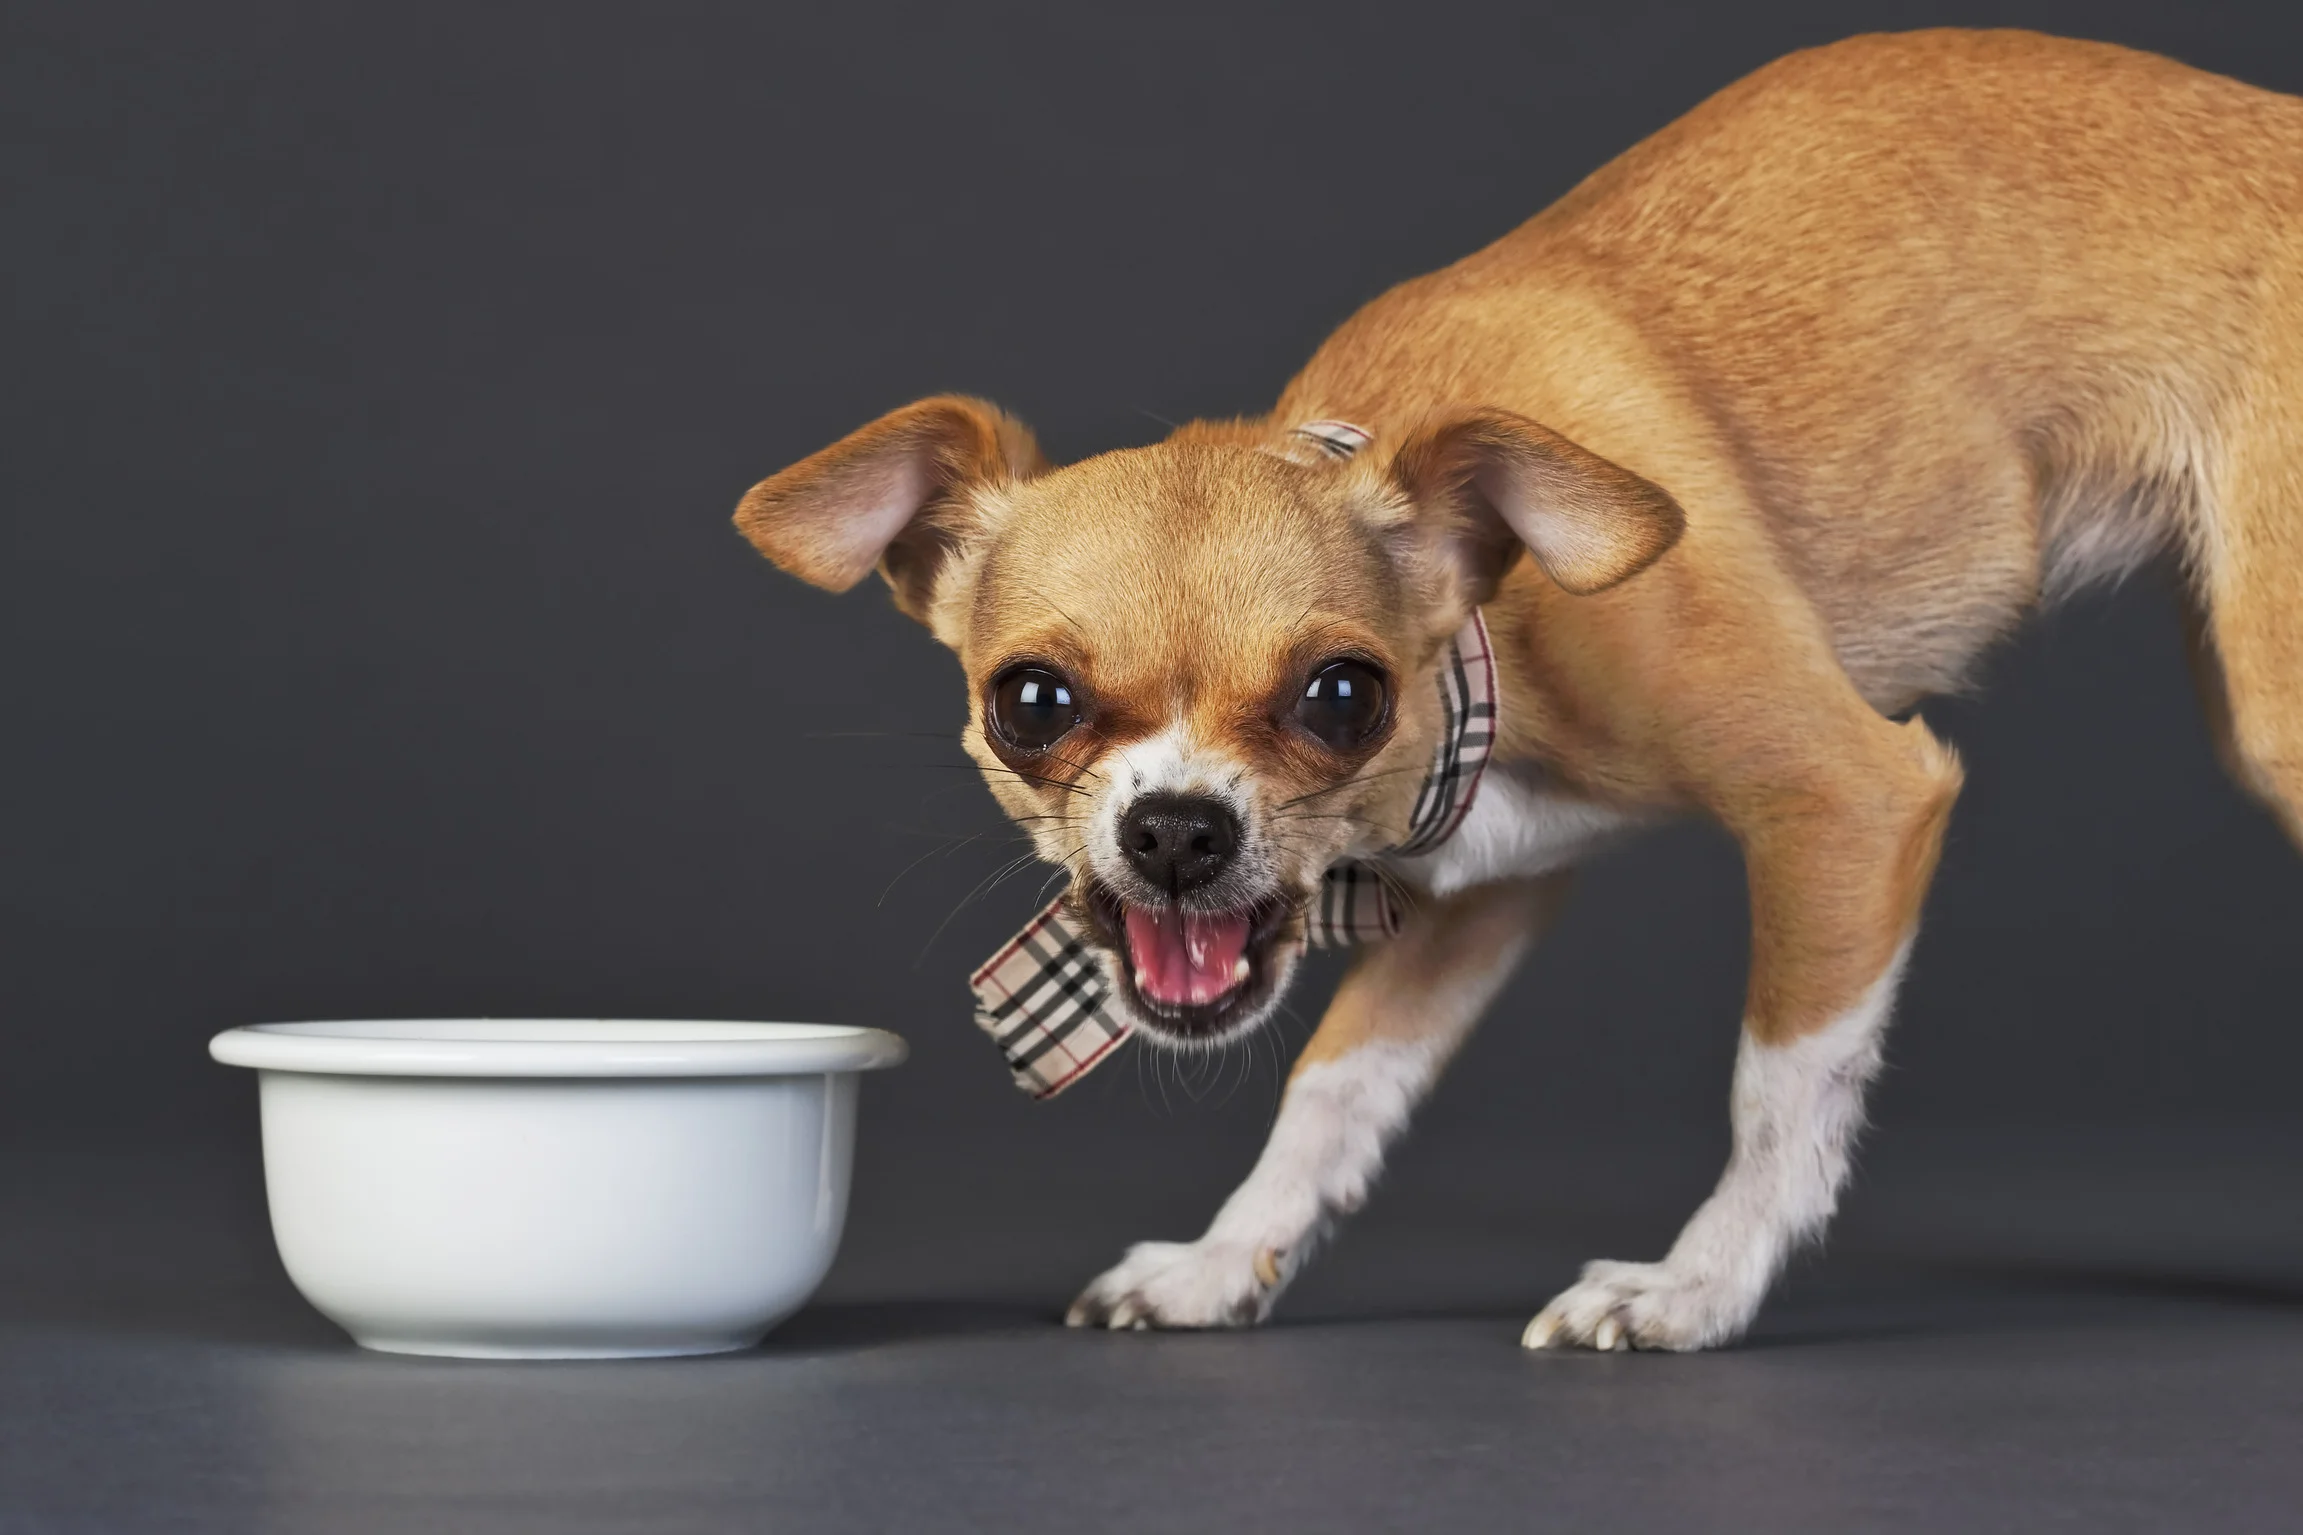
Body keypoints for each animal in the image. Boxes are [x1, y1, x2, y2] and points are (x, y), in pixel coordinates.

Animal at [736, 30, 2303, 1353]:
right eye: (1033, 702)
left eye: (1341, 695)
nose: (1176, 828)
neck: (1494, 627)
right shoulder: (1475, 897)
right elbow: (1334, 1086)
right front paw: (1221, 1259)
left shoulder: (1847, 802)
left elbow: (1778, 1080)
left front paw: (1694, 1286)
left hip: (2272, 712)